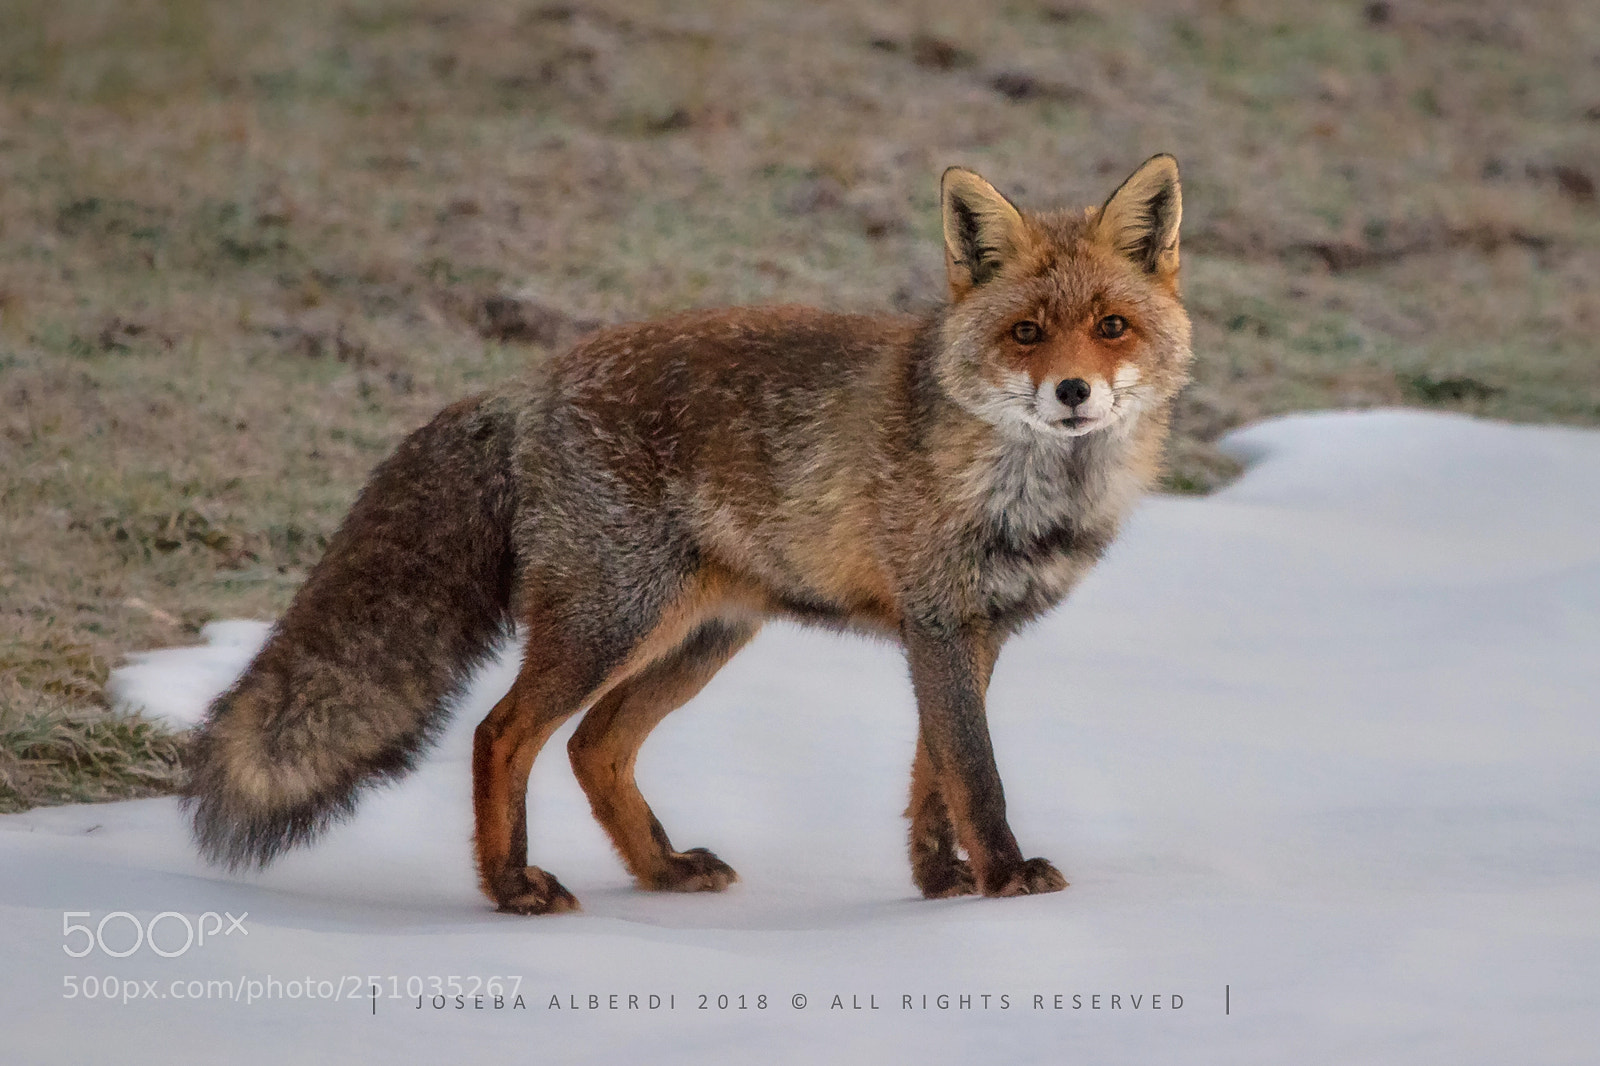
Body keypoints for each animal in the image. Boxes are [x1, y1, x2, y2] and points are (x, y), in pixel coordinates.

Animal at [184, 155, 1192, 914]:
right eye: (1025, 332)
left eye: (1111, 326)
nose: (1073, 392)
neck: (1031, 490)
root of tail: (524, 385)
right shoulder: (940, 623)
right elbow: (975, 774)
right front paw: (1005, 880)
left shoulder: (967, 634)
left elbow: (932, 776)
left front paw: (941, 882)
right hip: (614, 622)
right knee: (501, 734)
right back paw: (512, 887)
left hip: (701, 636)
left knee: (594, 747)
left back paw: (660, 870)